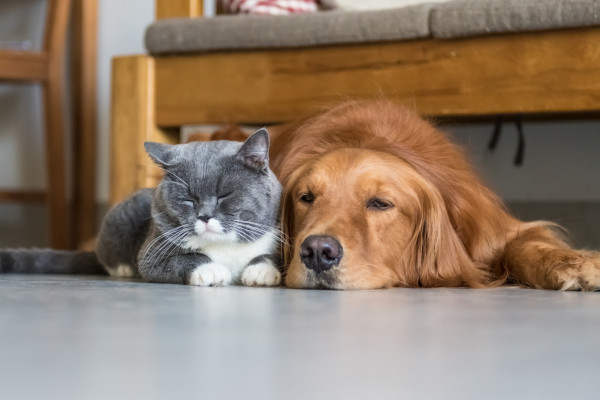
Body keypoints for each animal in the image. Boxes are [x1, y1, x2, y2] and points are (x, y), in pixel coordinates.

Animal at [0, 130, 284, 286]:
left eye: (225, 194)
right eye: (188, 199)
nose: (204, 216)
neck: (224, 248)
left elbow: (270, 255)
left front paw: (261, 270)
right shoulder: (152, 253)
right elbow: (183, 259)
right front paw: (211, 269)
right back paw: (124, 269)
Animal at [206, 98, 600, 290]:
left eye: (380, 204)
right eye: (306, 198)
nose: (317, 252)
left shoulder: (493, 230)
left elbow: (526, 245)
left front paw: (576, 264)